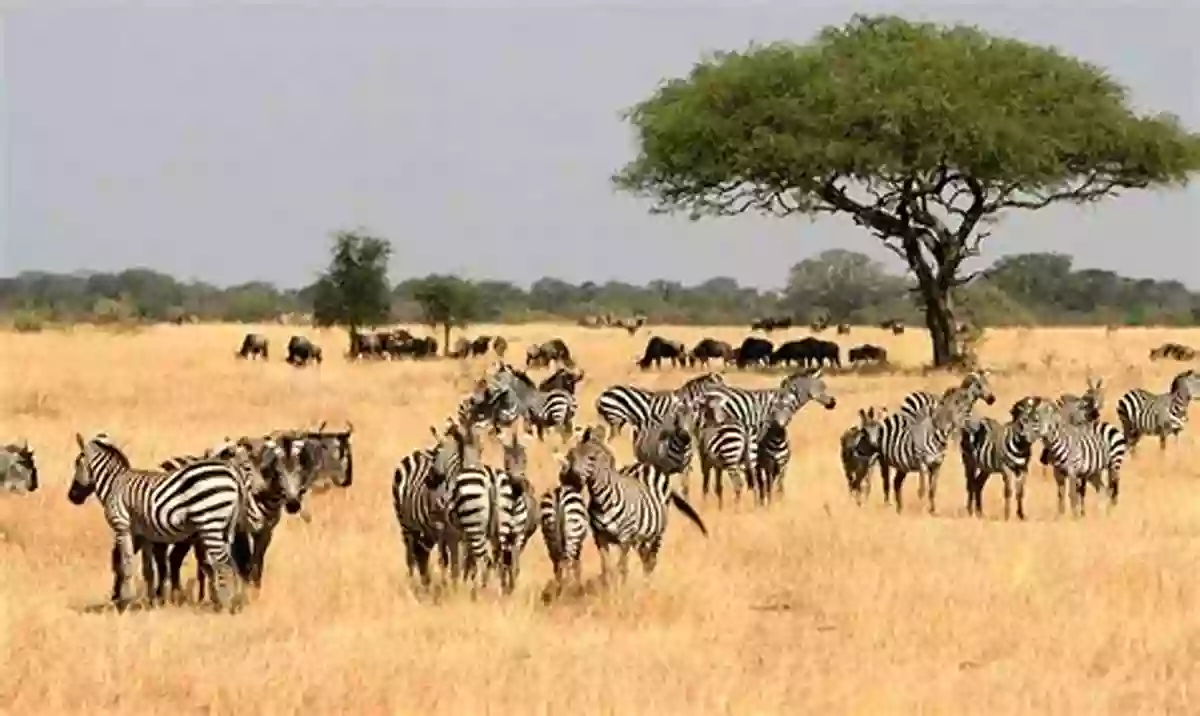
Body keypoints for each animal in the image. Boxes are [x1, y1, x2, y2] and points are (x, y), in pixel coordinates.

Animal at [66, 431, 249, 611]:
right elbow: (148, 570)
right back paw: (233, 601)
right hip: (224, 527)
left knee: (223, 563)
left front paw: (125, 603)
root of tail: (233, 475)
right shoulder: (144, 534)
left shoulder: (122, 527)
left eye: (76, 464)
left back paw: (224, 604)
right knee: (230, 563)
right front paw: (151, 601)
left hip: (210, 521)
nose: (72, 497)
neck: (114, 484)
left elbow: (125, 564)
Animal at [556, 424, 705, 585]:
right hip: (640, 536)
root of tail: (644, 465)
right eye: (571, 455)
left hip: (658, 531)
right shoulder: (600, 538)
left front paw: (621, 589)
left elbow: (622, 567)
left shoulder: (625, 538)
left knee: (651, 559)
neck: (602, 500)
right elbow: (607, 568)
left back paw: (647, 583)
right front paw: (608, 589)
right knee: (644, 556)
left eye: (592, 458)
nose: (569, 479)